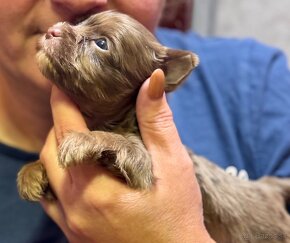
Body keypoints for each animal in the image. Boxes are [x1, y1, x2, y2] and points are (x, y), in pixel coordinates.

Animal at [17, 10, 290, 242]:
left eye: (102, 44)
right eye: (79, 23)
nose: (53, 30)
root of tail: (268, 187)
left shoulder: (142, 166)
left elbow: (117, 141)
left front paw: (85, 140)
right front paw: (32, 172)